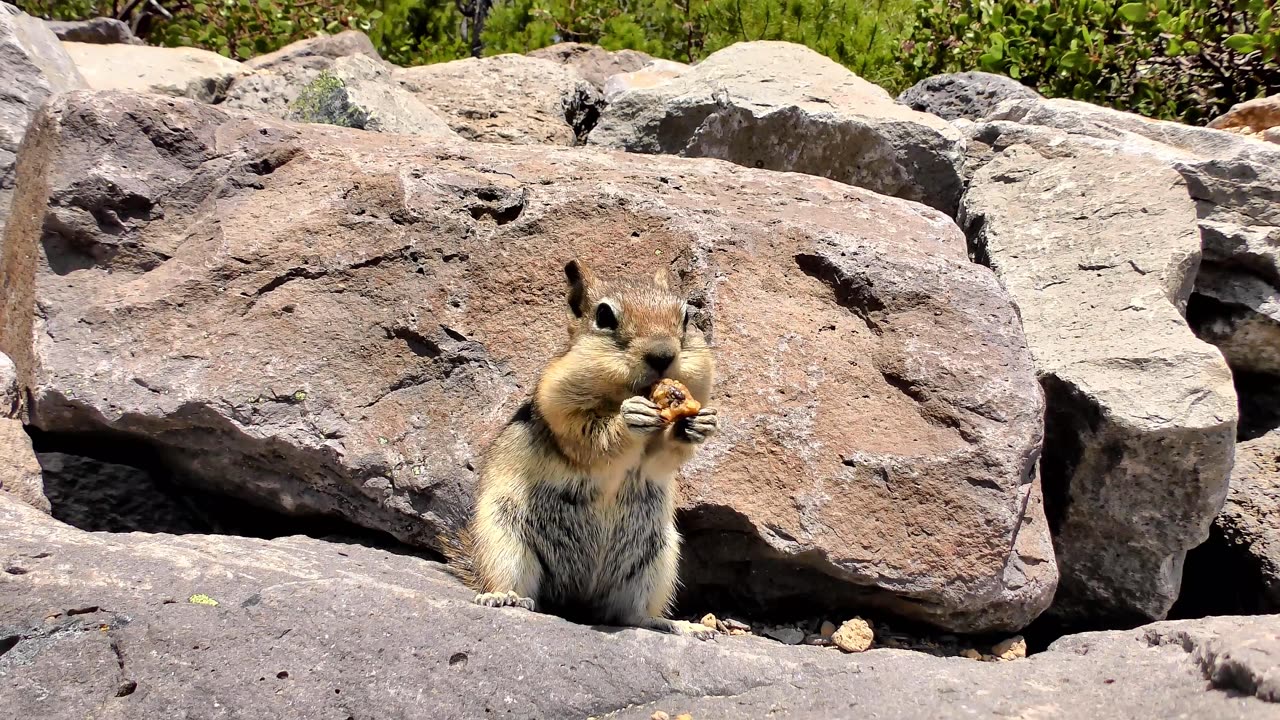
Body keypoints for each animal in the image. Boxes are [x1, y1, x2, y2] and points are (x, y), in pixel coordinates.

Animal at [445, 258, 716, 638]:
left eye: (686, 317)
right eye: (604, 316)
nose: (663, 354)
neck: (621, 395)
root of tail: (577, 602)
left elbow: (663, 458)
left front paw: (697, 425)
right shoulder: (559, 408)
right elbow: (591, 438)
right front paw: (630, 418)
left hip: (656, 562)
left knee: (627, 615)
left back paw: (676, 624)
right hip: (504, 541)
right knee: (515, 585)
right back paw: (503, 597)